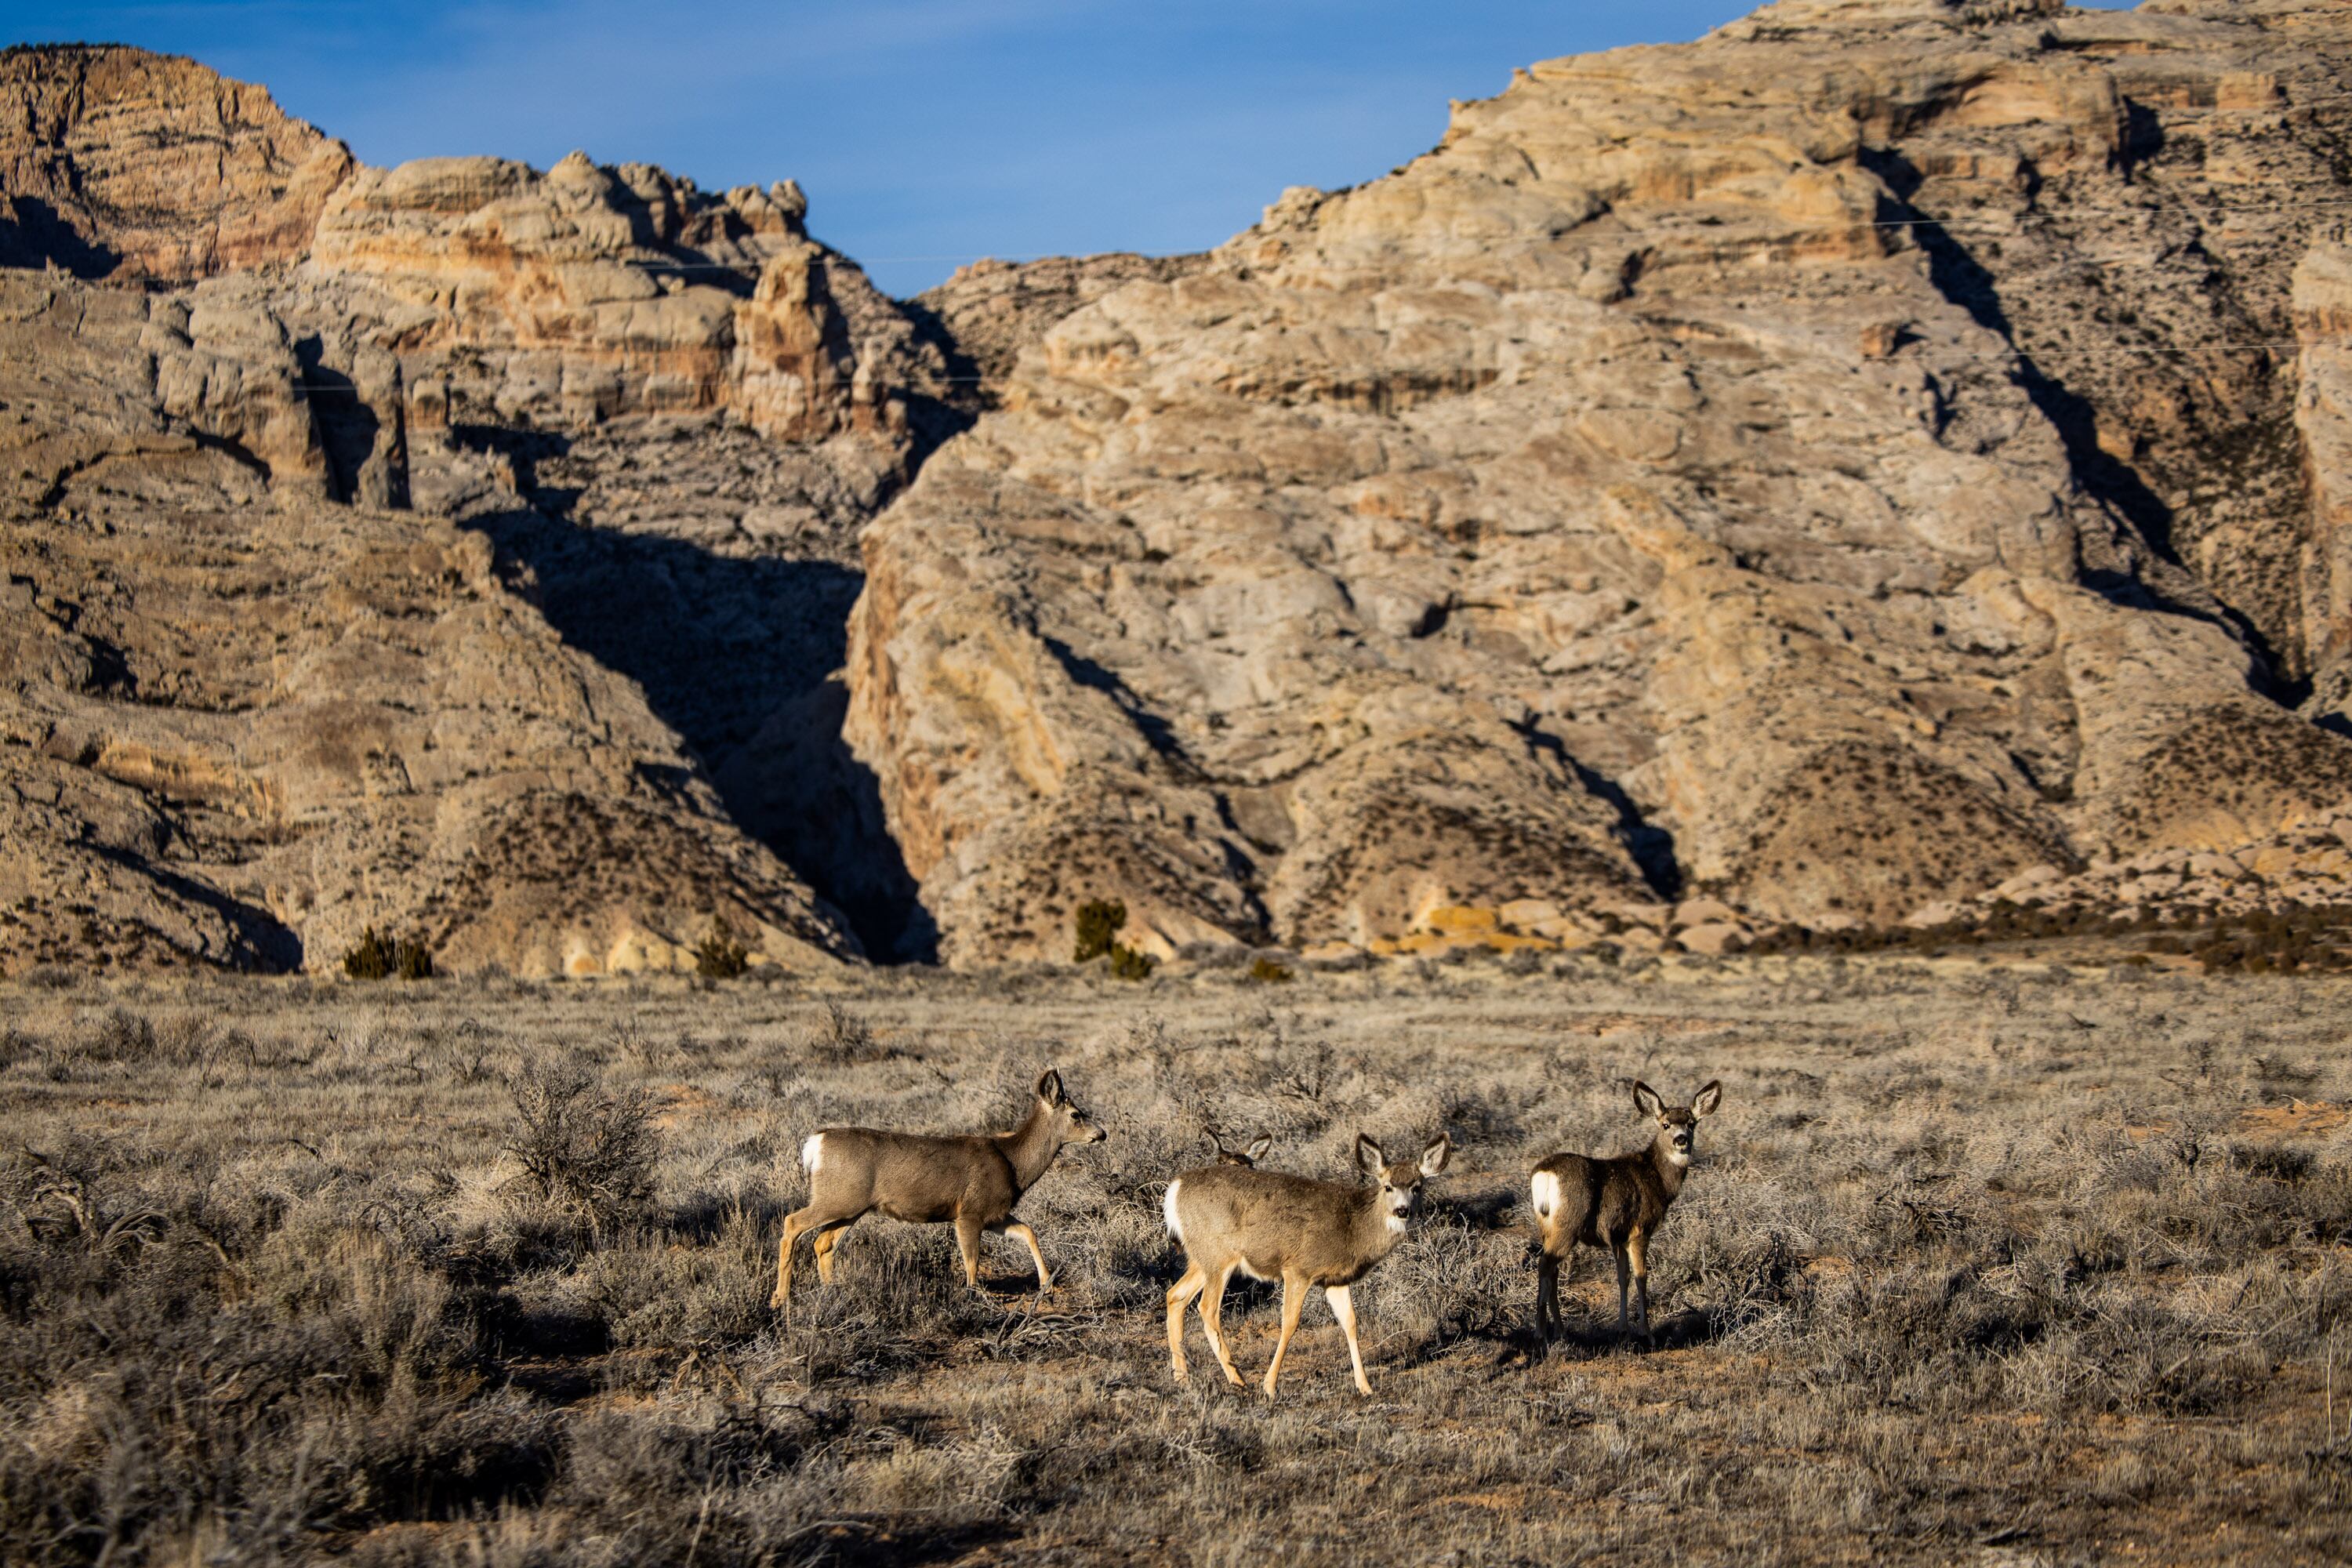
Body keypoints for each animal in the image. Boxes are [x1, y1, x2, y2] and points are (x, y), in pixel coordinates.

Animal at [770, 1068, 1106, 1323]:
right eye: (1076, 1115)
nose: (1101, 1133)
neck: (1012, 1162)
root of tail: (816, 1144)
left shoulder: (993, 1213)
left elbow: (1028, 1232)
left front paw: (1047, 1284)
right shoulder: (969, 1211)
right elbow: (972, 1261)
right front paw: (974, 1297)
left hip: (851, 1206)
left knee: (823, 1244)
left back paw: (833, 1293)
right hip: (838, 1198)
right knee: (792, 1223)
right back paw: (780, 1300)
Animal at [1163, 1131, 1452, 1399]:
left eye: (1417, 1186)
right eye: (1388, 1186)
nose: (1402, 1210)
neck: (1354, 1227)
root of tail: (1175, 1187)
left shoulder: (1335, 1279)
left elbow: (1350, 1323)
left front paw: (1365, 1387)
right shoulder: (1298, 1269)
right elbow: (1290, 1323)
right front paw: (1269, 1386)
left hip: (1202, 1258)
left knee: (1175, 1295)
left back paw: (1182, 1378)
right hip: (1218, 1256)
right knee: (1207, 1308)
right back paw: (1239, 1380)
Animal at [1529, 1079, 1722, 1348]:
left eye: (1691, 1123)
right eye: (1665, 1124)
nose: (1681, 1139)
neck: (1658, 1178)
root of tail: (1544, 1174)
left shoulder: (1618, 1235)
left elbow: (1623, 1277)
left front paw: (1623, 1329)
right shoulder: (1640, 1230)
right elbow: (1641, 1276)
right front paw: (1647, 1333)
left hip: (1547, 1225)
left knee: (1552, 1270)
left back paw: (1561, 1332)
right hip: (1569, 1224)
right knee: (1545, 1264)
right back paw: (1540, 1333)